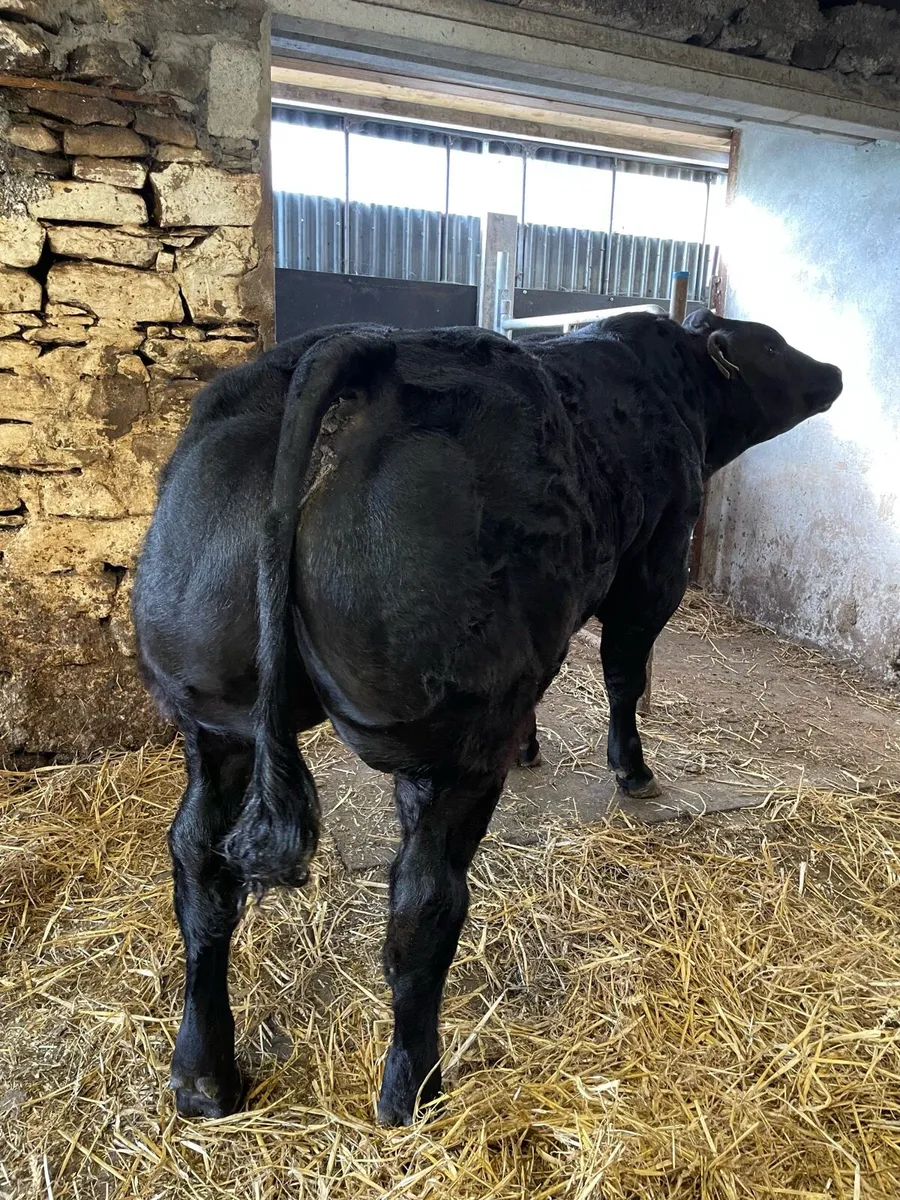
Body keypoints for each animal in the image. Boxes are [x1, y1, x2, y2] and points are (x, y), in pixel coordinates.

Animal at [132, 309, 842, 1125]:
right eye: (774, 344)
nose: (835, 372)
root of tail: (353, 346)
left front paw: (535, 749)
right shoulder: (652, 567)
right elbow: (624, 673)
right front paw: (633, 770)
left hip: (214, 720)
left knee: (200, 864)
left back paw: (204, 1075)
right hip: (451, 746)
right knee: (423, 906)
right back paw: (412, 1088)